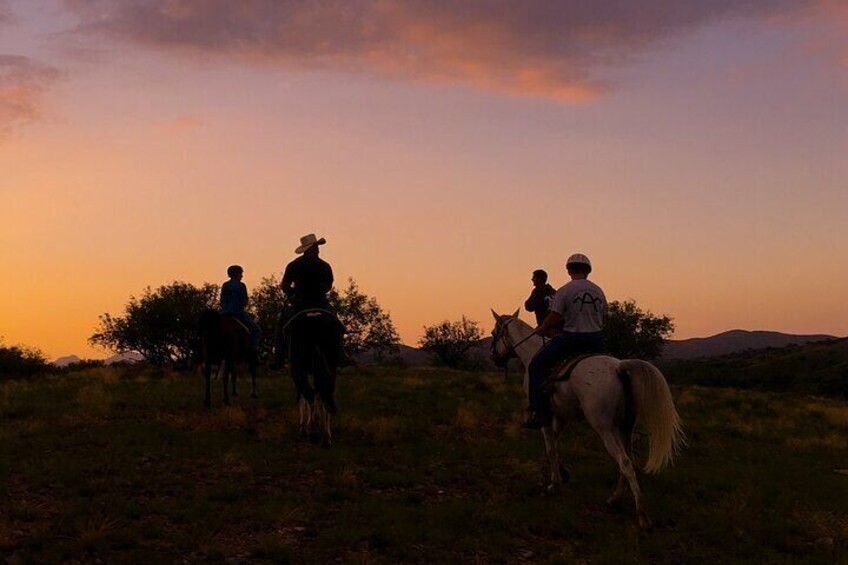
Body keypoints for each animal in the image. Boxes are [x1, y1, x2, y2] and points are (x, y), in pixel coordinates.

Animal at [286, 308, 342, 446]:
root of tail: (315, 320)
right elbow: (318, 394)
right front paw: (316, 420)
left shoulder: (296, 372)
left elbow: (303, 398)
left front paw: (303, 427)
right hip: (331, 368)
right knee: (326, 395)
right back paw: (326, 438)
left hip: (299, 370)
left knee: (309, 394)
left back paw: (311, 431)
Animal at [490, 308, 684, 528]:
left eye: (494, 333)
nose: (495, 358)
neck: (532, 352)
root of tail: (619, 367)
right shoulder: (562, 415)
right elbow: (555, 444)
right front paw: (562, 474)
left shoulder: (546, 415)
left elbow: (550, 448)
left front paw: (554, 484)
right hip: (626, 427)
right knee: (629, 462)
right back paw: (615, 499)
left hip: (605, 428)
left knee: (624, 462)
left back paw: (642, 515)